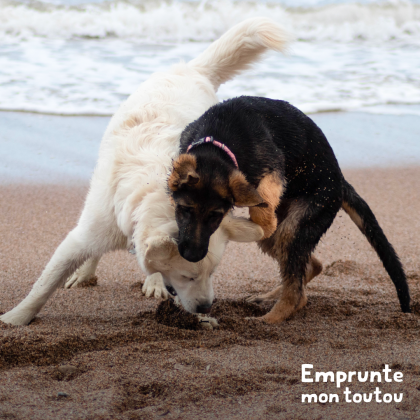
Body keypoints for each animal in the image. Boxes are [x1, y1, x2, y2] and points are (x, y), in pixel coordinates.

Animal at [0, 18, 288, 326]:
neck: (155, 194)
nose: (206, 307)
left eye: (212, 273)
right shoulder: (87, 232)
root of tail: (190, 69)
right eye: (188, 276)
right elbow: (45, 284)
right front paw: (16, 318)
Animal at [167, 97, 410, 324]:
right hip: (282, 237)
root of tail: (340, 182)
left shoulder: (273, 166)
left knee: (297, 293)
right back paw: (269, 297)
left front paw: (263, 217)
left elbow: (262, 199)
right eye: (184, 209)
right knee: (307, 270)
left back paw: (267, 319)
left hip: (299, 223)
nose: (192, 256)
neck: (217, 142)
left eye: (216, 216)